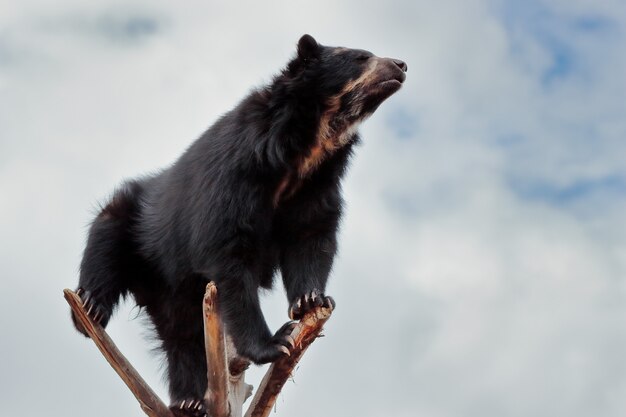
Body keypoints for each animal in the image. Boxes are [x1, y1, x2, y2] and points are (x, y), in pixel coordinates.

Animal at [72, 34, 404, 414]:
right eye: (360, 57)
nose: (401, 65)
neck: (306, 148)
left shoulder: (318, 185)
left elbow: (311, 236)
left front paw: (310, 301)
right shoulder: (235, 175)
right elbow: (230, 255)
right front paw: (275, 343)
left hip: (173, 292)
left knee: (182, 337)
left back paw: (189, 401)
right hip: (130, 227)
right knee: (104, 256)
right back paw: (90, 308)